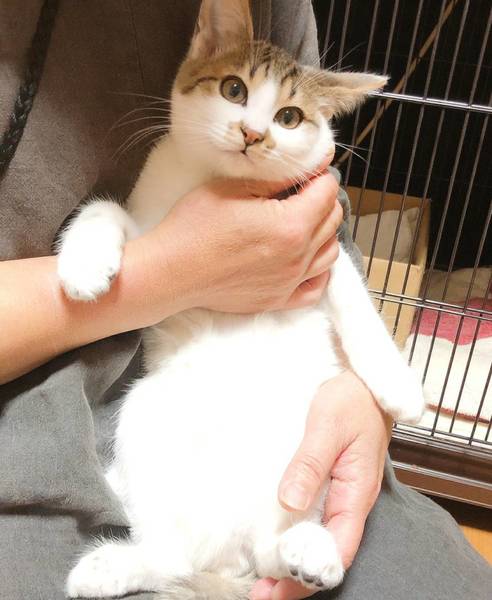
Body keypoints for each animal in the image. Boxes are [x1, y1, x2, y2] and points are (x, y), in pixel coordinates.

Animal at [60, 1, 425, 598]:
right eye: (234, 89)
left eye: (291, 117)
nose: (253, 133)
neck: (221, 183)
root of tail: (225, 554)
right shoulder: (154, 232)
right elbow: (104, 209)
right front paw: (84, 265)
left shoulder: (319, 248)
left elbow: (355, 297)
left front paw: (399, 388)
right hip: (150, 416)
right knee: (173, 554)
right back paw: (107, 566)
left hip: (295, 466)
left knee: (266, 549)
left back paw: (311, 552)